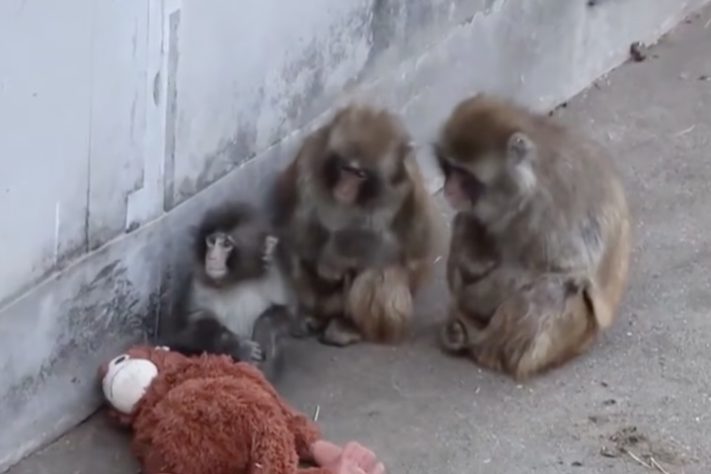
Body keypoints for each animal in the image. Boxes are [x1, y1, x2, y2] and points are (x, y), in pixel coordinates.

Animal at [160, 202, 294, 380]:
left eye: (226, 244)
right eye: (212, 241)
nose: (212, 257)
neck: (238, 278)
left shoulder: (274, 273)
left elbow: (288, 313)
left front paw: (263, 332)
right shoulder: (196, 281)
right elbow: (184, 330)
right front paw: (238, 346)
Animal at [271, 103, 440, 347]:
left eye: (360, 174)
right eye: (345, 169)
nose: (345, 188)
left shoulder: (409, 185)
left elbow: (413, 248)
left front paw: (334, 259)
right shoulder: (309, 158)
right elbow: (297, 228)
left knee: (381, 269)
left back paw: (349, 327)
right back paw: (317, 317)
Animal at [435, 94, 631, 379]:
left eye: (465, 175)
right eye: (449, 169)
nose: (448, 189)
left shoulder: (546, 210)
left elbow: (551, 270)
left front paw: (468, 298)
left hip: (575, 336)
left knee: (550, 291)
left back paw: (485, 348)